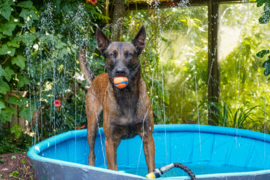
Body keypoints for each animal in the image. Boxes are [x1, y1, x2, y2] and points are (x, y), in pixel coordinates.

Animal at [78, 25, 155, 173]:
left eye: (129, 54)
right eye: (112, 55)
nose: (120, 71)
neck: (127, 96)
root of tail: (94, 79)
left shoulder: (148, 137)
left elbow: (151, 168)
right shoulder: (110, 141)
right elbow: (112, 169)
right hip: (92, 126)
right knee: (91, 153)